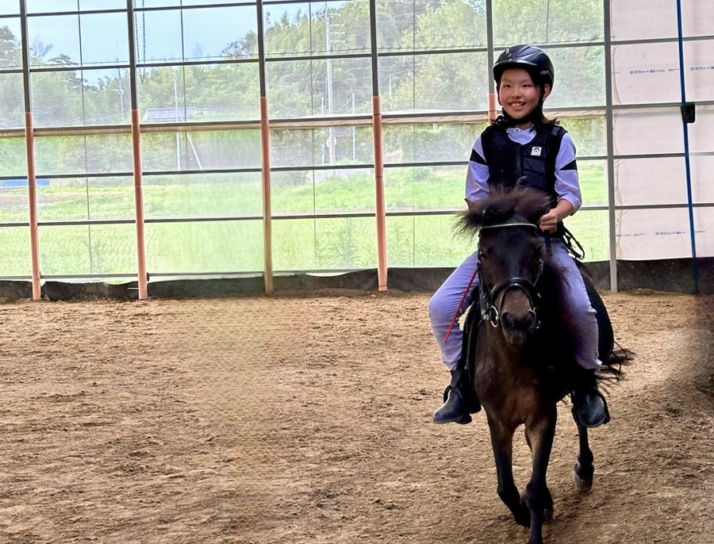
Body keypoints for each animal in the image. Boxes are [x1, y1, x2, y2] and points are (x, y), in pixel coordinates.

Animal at [458, 187, 620, 544]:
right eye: (484, 253)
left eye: (535, 250)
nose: (517, 320)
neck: (515, 359)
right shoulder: (498, 420)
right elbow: (506, 487)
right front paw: (524, 513)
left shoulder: (543, 415)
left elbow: (532, 485)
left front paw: (536, 517)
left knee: (581, 416)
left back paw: (584, 470)